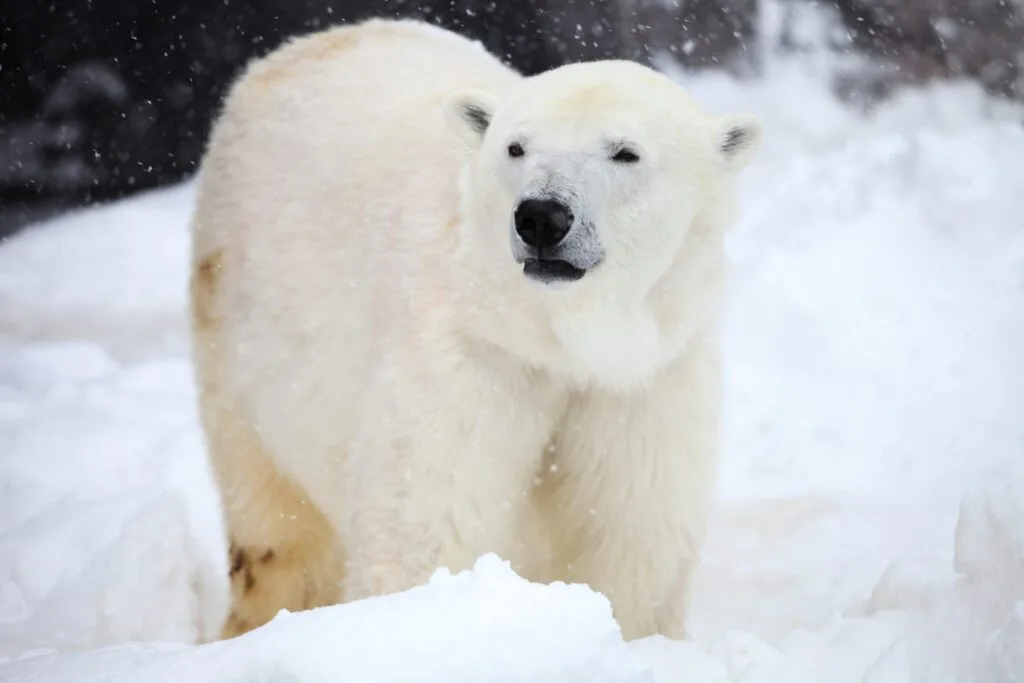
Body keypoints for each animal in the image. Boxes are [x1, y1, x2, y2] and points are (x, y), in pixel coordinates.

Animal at [189, 17, 762, 642]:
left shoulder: (641, 380)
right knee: (276, 526)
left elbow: (630, 531)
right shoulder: (470, 355)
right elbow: (430, 520)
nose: (542, 216)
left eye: (625, 152)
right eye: (516, 146)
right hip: (237, 316)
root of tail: (300, 47)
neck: (556, 337)